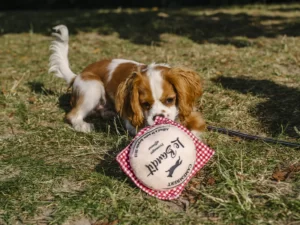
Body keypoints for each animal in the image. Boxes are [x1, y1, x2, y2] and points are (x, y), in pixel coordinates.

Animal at [48, 25, 206, 137]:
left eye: (170, 100)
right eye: (144, 104)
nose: (158, 117)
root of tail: (77, 76)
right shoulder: (133, 122)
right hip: (93, 86)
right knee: (72, 115)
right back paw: (84, 126)